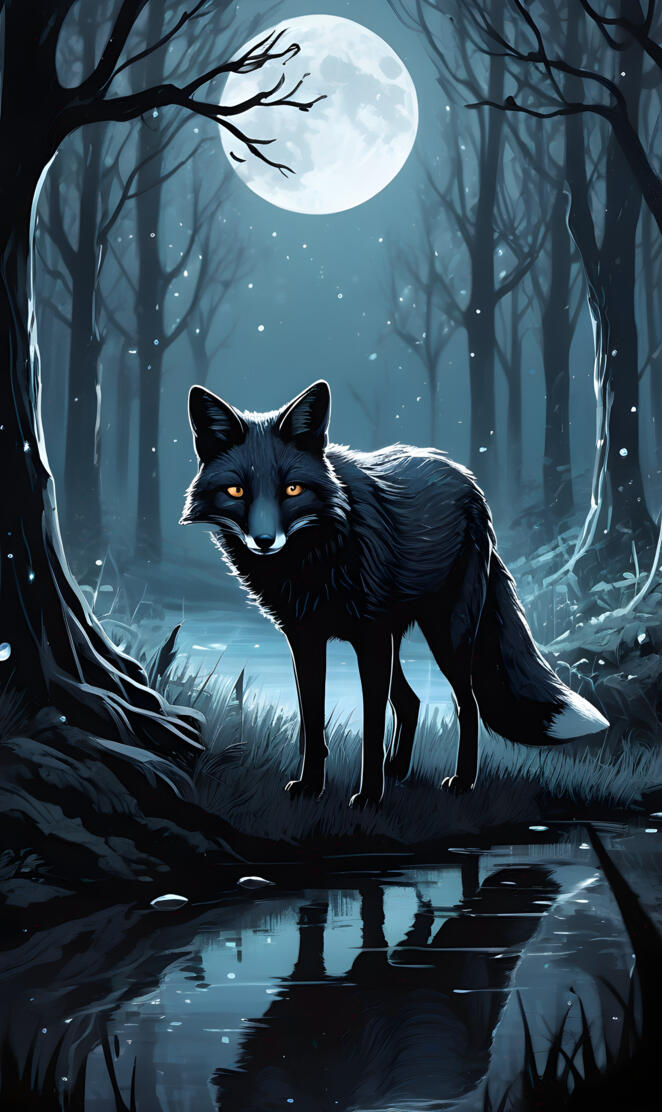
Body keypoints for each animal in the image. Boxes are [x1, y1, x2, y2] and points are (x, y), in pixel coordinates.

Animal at [181, 379, 609, 808]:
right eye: (236, 491)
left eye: (292, 489)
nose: (265, 541)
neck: (318, 555)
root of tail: (470, 483)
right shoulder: (305, 638)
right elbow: (313, 722)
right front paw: (311, 787)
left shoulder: (369, 639)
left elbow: (371, 729)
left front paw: (369, 796)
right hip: (398, 636)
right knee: (411, 700)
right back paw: (399, 771)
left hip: (446, 636)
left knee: (465, 704)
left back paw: (461, 781)